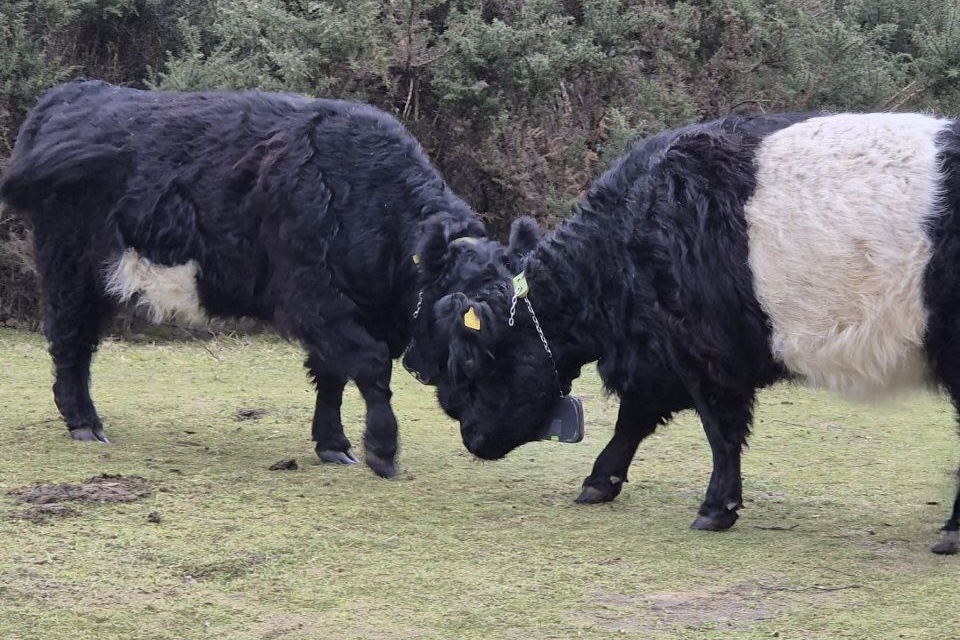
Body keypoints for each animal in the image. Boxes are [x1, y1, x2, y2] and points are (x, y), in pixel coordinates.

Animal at [0, 77, 488, 478]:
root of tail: (71, 95)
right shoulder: (314, 302)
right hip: (70, 265)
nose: (487, 438)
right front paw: (382, 450)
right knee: (71, 341)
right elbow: (370, 363)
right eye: (468, 336)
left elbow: (331, 375)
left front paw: (334, 445)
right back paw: (84, 423)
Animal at [416, 112, 960, 552]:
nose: (471, 439)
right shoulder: (658, 360)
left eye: (471, 364)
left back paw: (951, 533)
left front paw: (716, 508)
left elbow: (720, 432)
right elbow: (633, 420)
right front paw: (600, 481)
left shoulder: (705, 356)